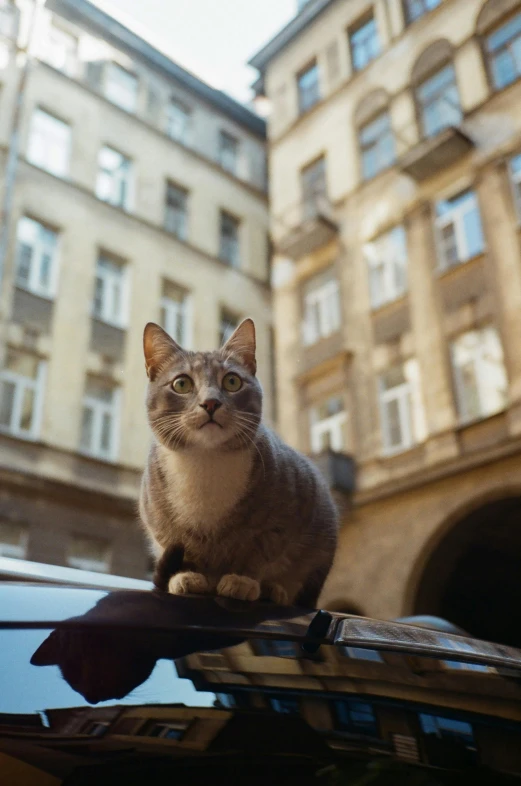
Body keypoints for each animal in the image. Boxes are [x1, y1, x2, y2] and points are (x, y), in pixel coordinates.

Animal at [138, 316, 340, 608]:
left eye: (232, 381)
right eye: (181, 384)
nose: (210, 402)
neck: (206, 463)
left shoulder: (286, 515)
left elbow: (259, 554)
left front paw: (243, 581)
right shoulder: (158, 522)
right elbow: (176, 547)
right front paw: (186, 576)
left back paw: (274, 590)